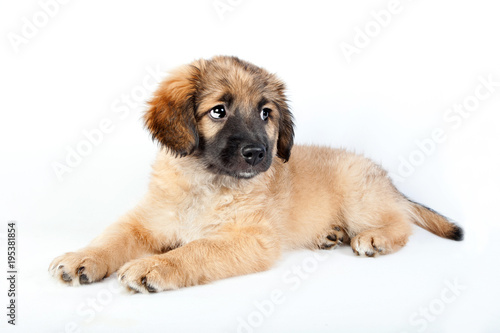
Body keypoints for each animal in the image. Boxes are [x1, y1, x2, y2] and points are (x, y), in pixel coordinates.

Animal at [48, 55, 462, 292]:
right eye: (218, 111)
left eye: (266, 113)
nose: (258, 153)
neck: (206, 183)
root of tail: (385, 178)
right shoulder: (145, 222)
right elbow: (111, 237)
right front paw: (81, 258)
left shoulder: (251, 239)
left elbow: (196, 249)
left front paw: (156, 265)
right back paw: (330, 234)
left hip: (360, 197)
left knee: (400, 222)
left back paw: (374, 238)